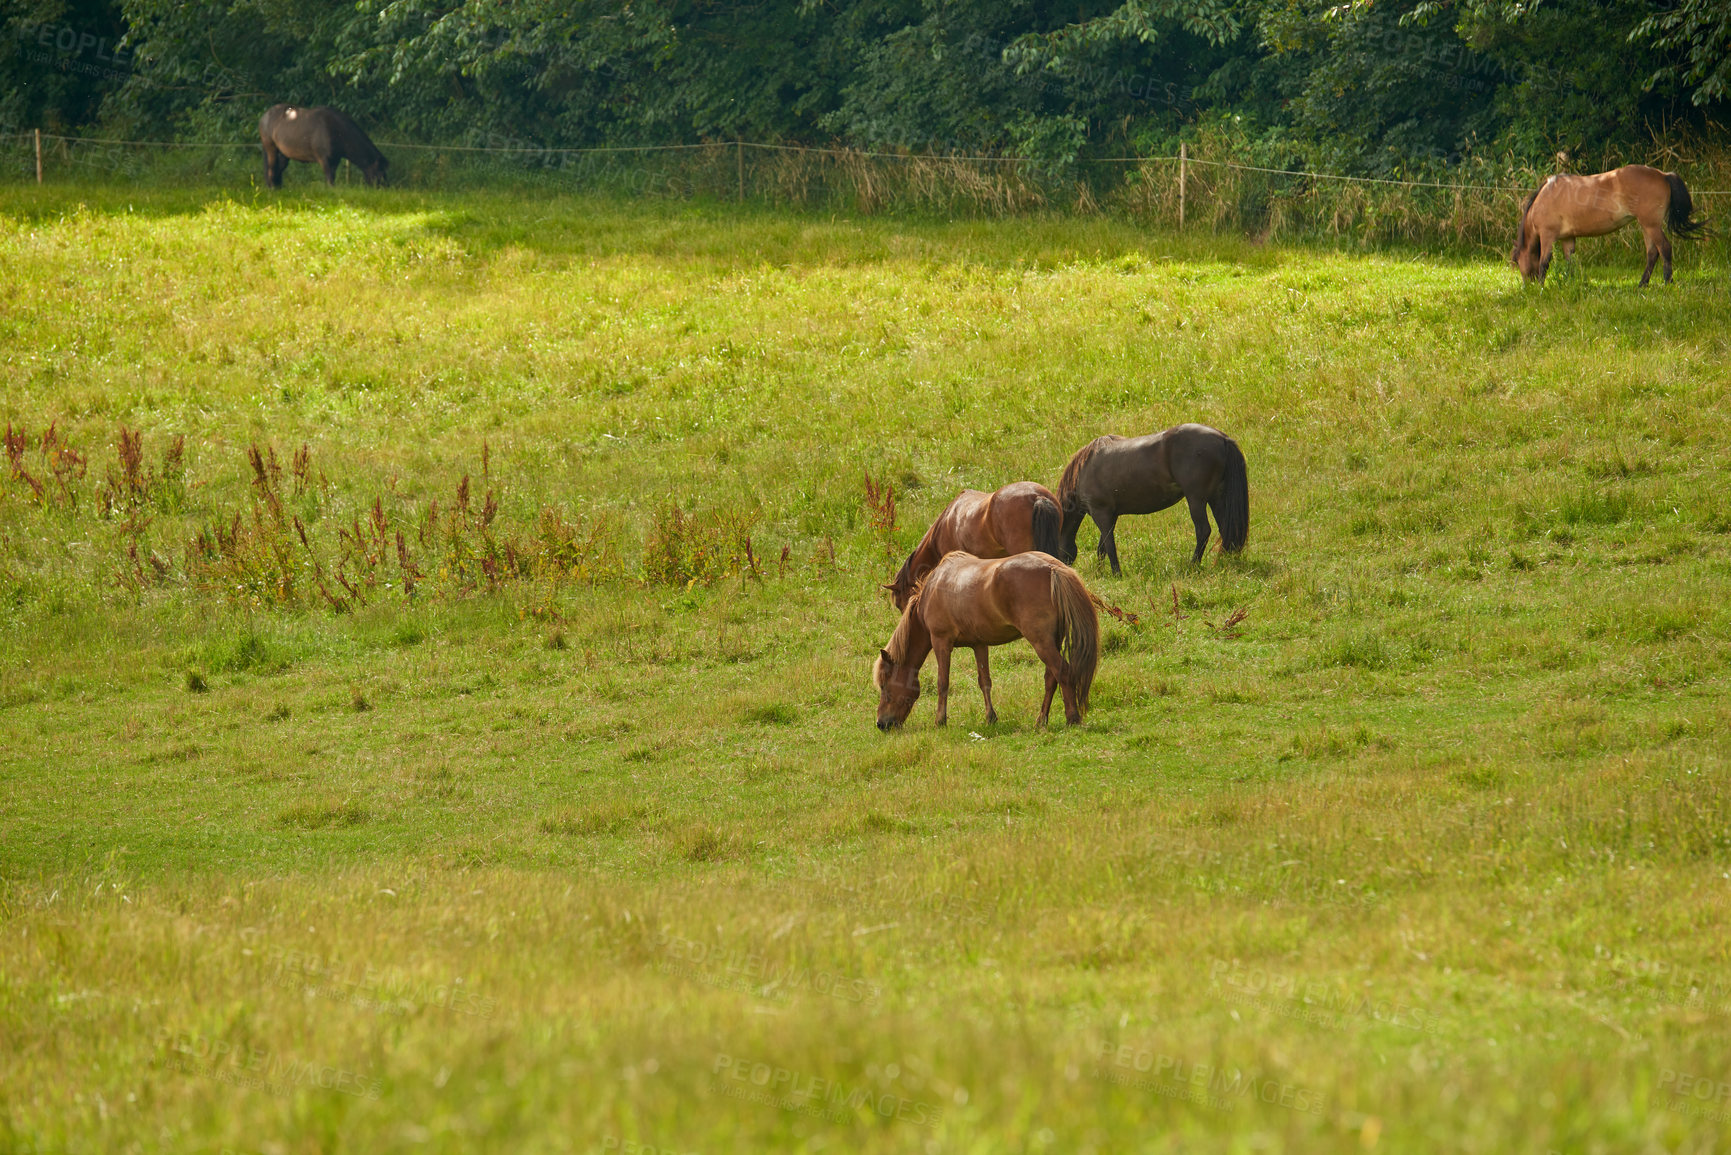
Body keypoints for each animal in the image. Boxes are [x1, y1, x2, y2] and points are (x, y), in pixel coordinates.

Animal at [259, 103, 389, 187]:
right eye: (380, 172)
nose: (386, 187)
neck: (336, 130)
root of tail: (264, 116)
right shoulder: (324, 159)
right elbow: (329, 179)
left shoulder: (335, 160)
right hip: (270, 149)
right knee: (271, 169)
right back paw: (272, 188)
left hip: (284, 154)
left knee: (278, 169)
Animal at [872, 554, 1100, 730]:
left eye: (884, 685)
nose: (881, 724)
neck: (933, 589)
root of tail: (1054, 568)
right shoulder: (979, 644)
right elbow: (985, 682)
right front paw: (991, 718)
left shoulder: (941, 642)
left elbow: (942, 682)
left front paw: (940, 721)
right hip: (1052, 641)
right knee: (1051, 678)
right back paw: (1041, 721)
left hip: (1041, 642)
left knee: (1064, 672)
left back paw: (1072, 718)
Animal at [1052, 422, 1246, 574]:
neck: (1083, 470)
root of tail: (1222, 438)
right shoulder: (1111, 515)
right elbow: (1102, 547)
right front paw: (1101, 572)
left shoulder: (1101, 513)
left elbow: (1109, 545)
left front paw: (1116, 573)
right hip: (1216, 498)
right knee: (1225, 529)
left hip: (1196, 500)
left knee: (1203, 530)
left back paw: (1192, 566)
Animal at [1516, 163, 1703, 285]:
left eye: (1518, 263)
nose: (1527, 288)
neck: (1546, 196)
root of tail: (1663, 175)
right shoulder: (1568, 238)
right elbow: (1570, 262)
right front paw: (1571, 283)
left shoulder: (1547, 236)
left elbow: (1544, 262)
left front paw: (1542, 287)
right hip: (1647, 226)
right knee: (1652, 253)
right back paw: (1642, 284)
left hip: (1651, 225)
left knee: (1664, 248)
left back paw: (1667, 281)